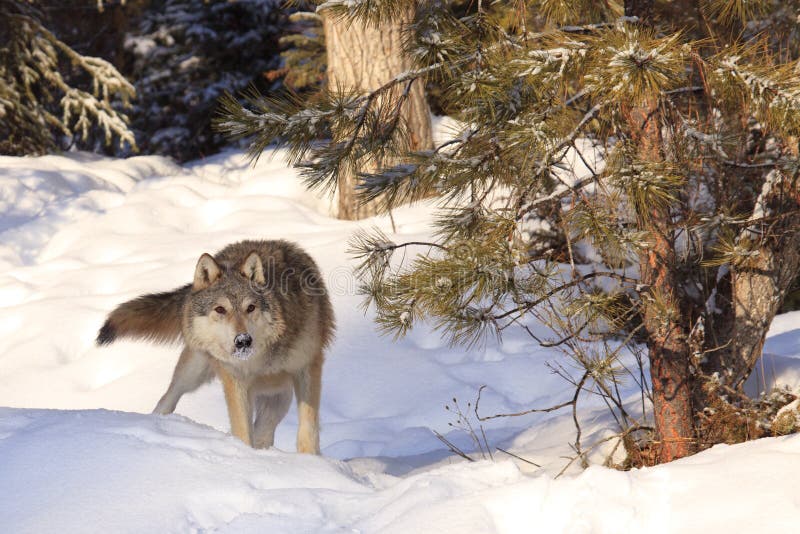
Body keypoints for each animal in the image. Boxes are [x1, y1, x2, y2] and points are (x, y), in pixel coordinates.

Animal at [97, 241, 334, 454]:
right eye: (220, 309)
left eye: (250, 308)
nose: (243, 340)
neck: (261, 360)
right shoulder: (235, 380)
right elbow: (241, 430)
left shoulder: (308, 367)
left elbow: (308, 427)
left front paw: (310, 461)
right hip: (193, 373)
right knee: (167, 398)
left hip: (278, 400)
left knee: (263, 432)